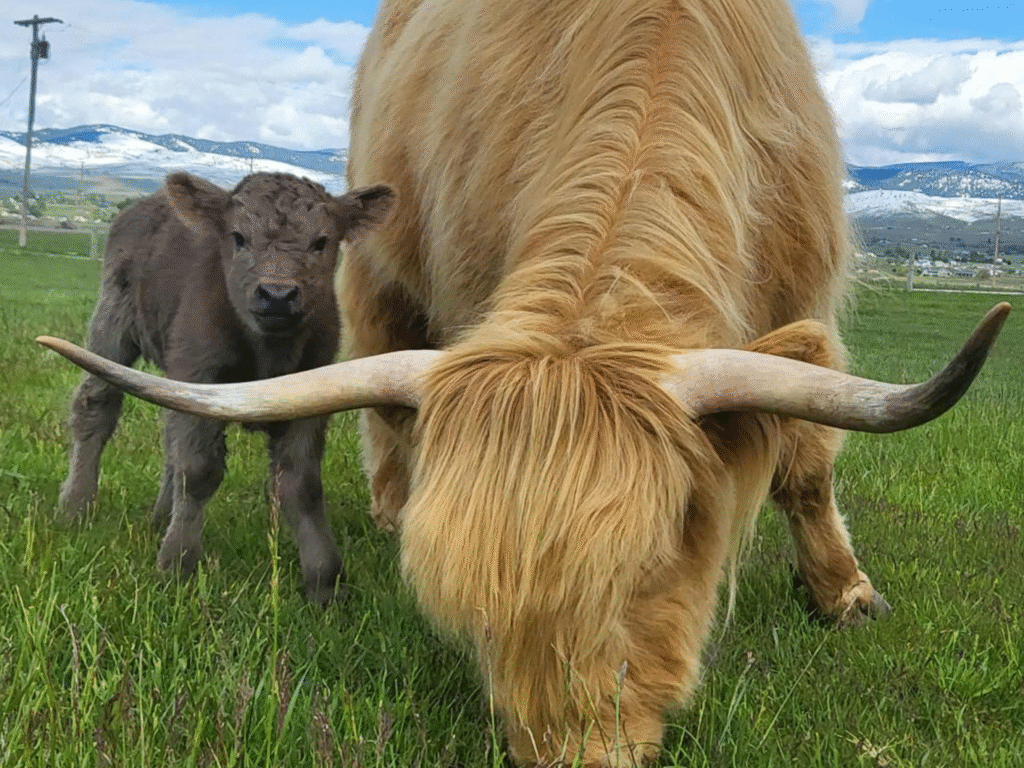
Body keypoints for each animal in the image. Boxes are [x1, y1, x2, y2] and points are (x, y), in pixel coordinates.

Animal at [57, 171, 394, 605]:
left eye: (322, 241)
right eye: (238, 237)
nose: (278, 294)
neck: (268, 350)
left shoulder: (310, 391)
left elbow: (300, 483)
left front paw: (325, 583)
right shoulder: (199, 373)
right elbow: (199, 469)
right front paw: (177, 565)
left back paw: (160, 517)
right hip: (113, 324)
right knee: (96, 406)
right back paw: (76, 507)